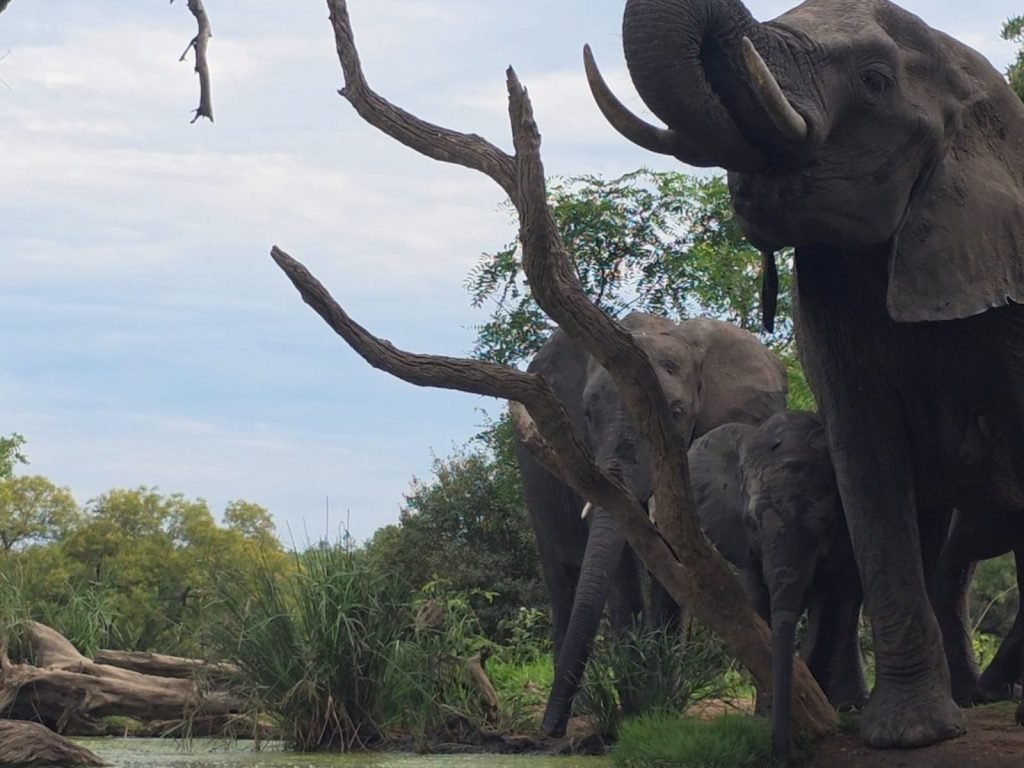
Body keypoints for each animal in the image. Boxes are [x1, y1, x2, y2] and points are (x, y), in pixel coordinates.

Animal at [515, 311, 786, 737]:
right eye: (587, 413)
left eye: (675, 414)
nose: (546, 732)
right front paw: (637, 701)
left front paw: (662, 701)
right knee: (560, 578)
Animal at [688, 411, 867, 762]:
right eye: (752, 525)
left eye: (826, 526)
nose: (780, 756)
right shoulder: (745, 546)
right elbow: (760, 608)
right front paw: (765, 717)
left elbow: (831, 600)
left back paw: (849, 706)